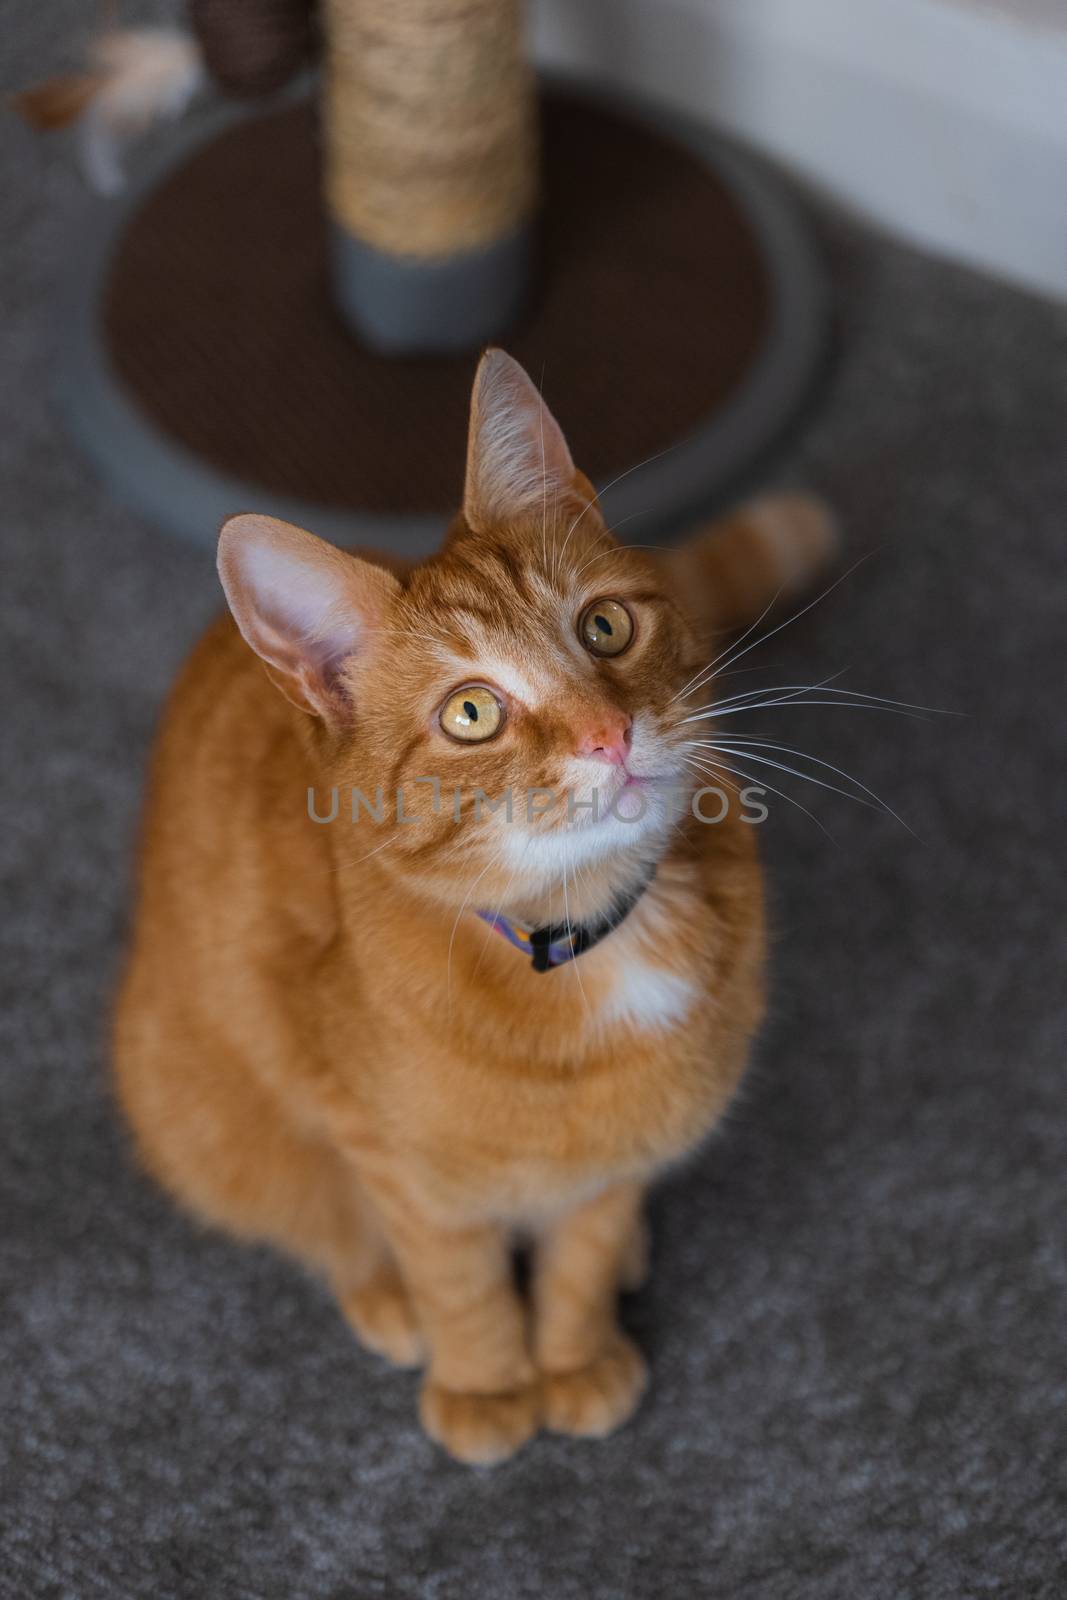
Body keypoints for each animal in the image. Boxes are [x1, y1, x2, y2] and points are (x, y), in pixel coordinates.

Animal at [115, 350, 831, 1465]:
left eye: (603, 626)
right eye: (470, 713)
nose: (607, 735)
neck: (586, 937)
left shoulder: (618, 1156)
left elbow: (581, 1256)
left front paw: (574, 1355)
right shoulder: (396, 1164)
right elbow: (457, 1277)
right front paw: (488, 1383)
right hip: (192, 1113)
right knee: (319, 1223)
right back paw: (383, 1299)